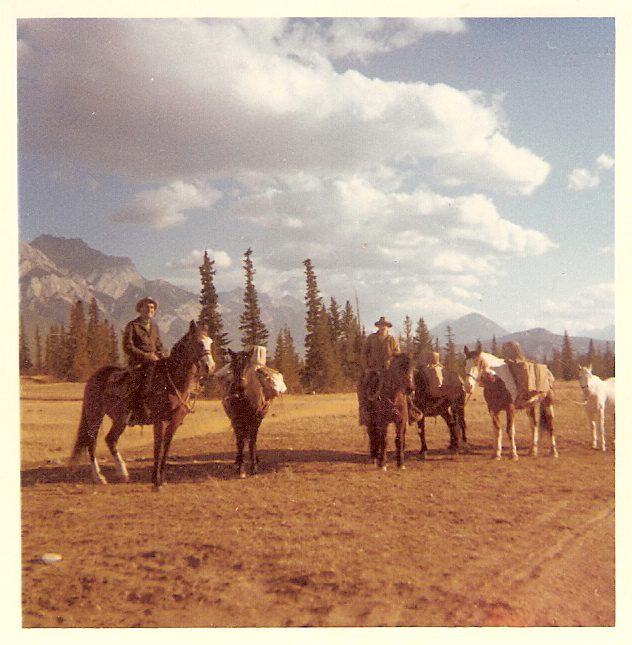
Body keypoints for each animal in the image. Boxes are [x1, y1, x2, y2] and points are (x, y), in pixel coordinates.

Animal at [70, 322, 215, 488]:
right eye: (198, 342)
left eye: (210, 342)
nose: (210, 367)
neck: (172, 382)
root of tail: (94, 377)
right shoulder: (160, 421)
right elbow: (157, 448)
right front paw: (155, 481)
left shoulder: (174, 422)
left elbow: (166, 448)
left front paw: (162, 479)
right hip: (95, 416)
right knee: (92, 442)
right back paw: (99, 477)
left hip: (119, 420)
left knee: (110, 440)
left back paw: (123, 473)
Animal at [218, 348, 270, 478]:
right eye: (233, 366)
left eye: (248, 366)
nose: (240, 387)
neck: (244, 399)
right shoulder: (236, 420)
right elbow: (240, 443)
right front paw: (241, 469)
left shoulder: (255, 420)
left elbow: (252, 443)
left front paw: (254, 468)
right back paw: (237, 461)